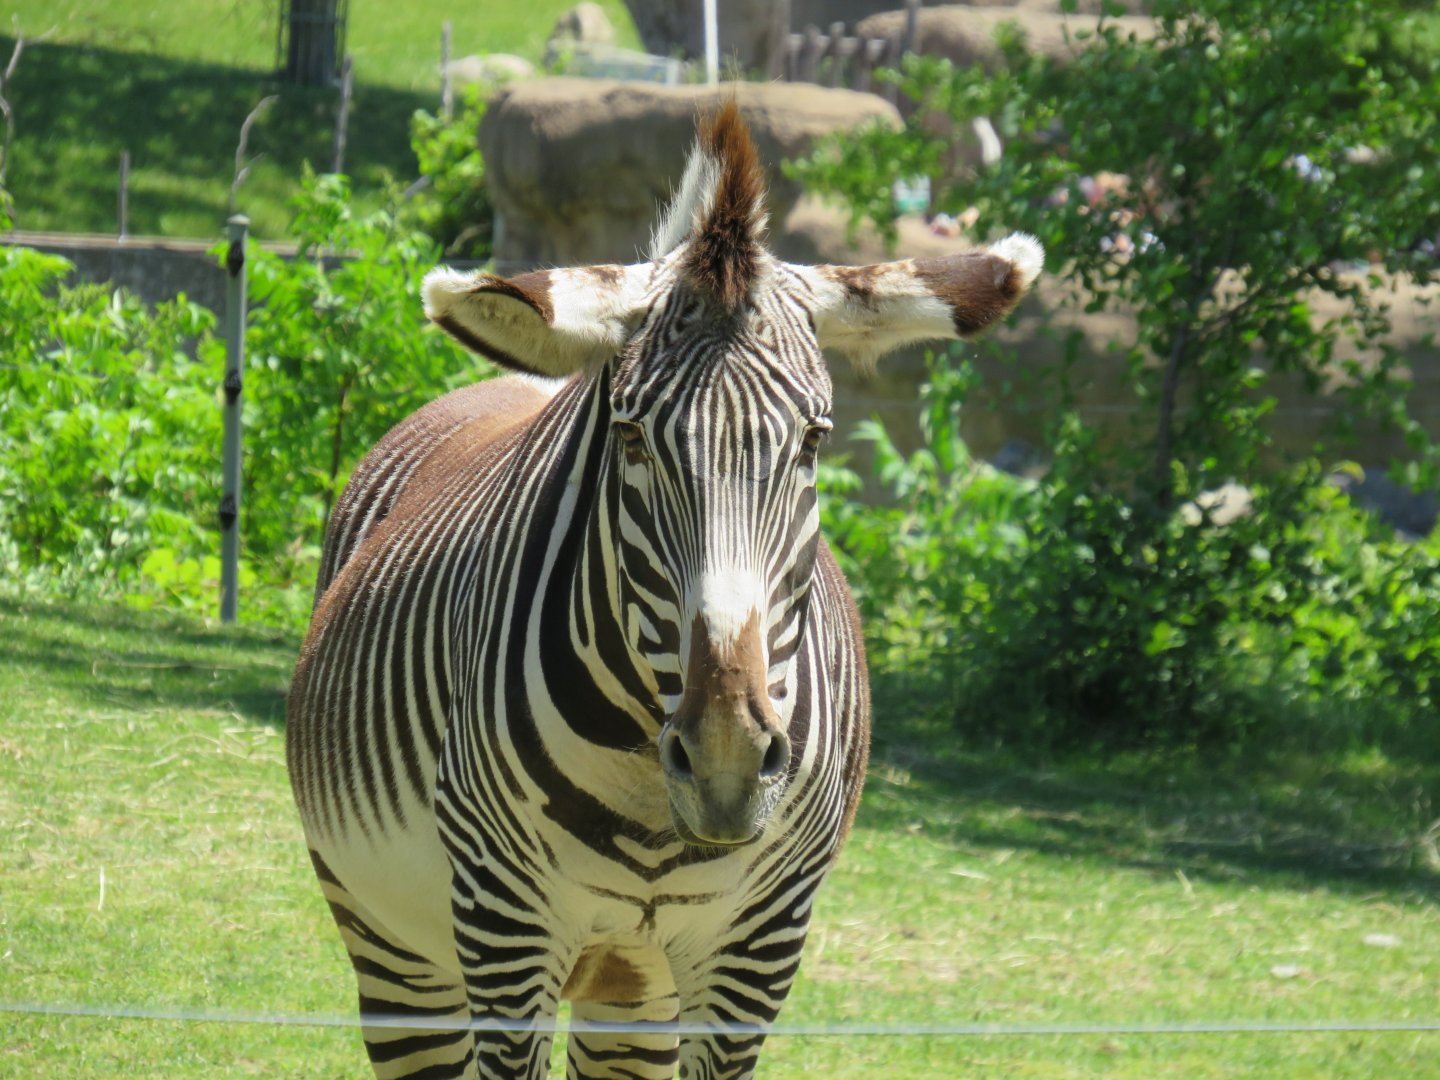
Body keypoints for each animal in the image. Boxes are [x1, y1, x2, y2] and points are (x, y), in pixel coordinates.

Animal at [286, 102, 1042, 1080]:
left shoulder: (758, 949)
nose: (726, 761)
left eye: (814, 440)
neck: (654, 811)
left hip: (633, 995)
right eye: (633, 438)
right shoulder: (502, 926)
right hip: (398, 951)